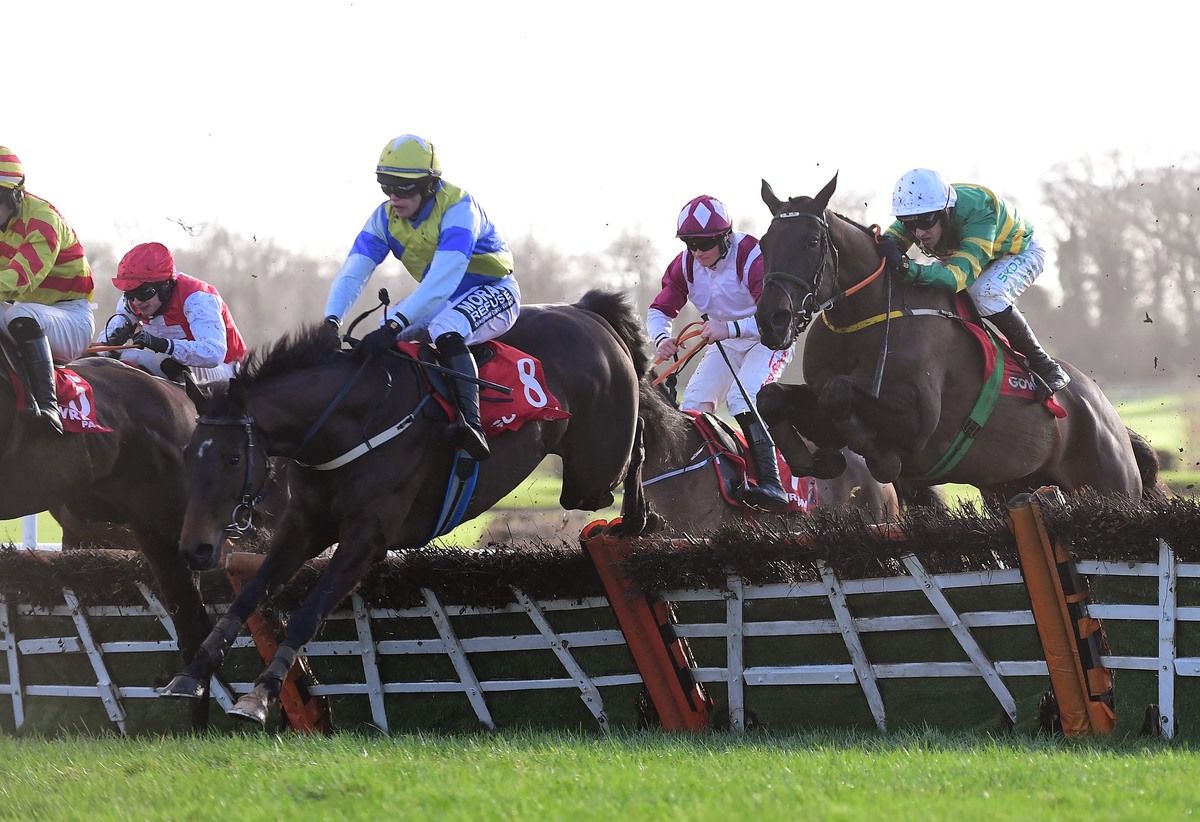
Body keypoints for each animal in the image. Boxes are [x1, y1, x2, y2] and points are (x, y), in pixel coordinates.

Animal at [159, 288, 657, 724]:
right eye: (188, 452)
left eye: (233, 458)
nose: (195, 549)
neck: (351, 421)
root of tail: (586, 310)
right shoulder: (304, 525)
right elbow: (251, 593)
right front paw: (191, 675)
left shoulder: (366, 539)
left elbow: (309, 612)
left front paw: (260, 695)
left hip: (593, 472)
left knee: (636, 449)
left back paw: (635, 519)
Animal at [748, 175, 1152, 499]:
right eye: (764, 243)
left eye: (812, 241)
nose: (772, 319)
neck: (863, 321)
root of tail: (1110, 416)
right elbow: (771, 397)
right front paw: (817, 460)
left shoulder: (918, 428)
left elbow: (840, 394)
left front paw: (878, 460)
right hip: (1008, 488)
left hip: (1112, 487)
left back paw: (1050, 374)